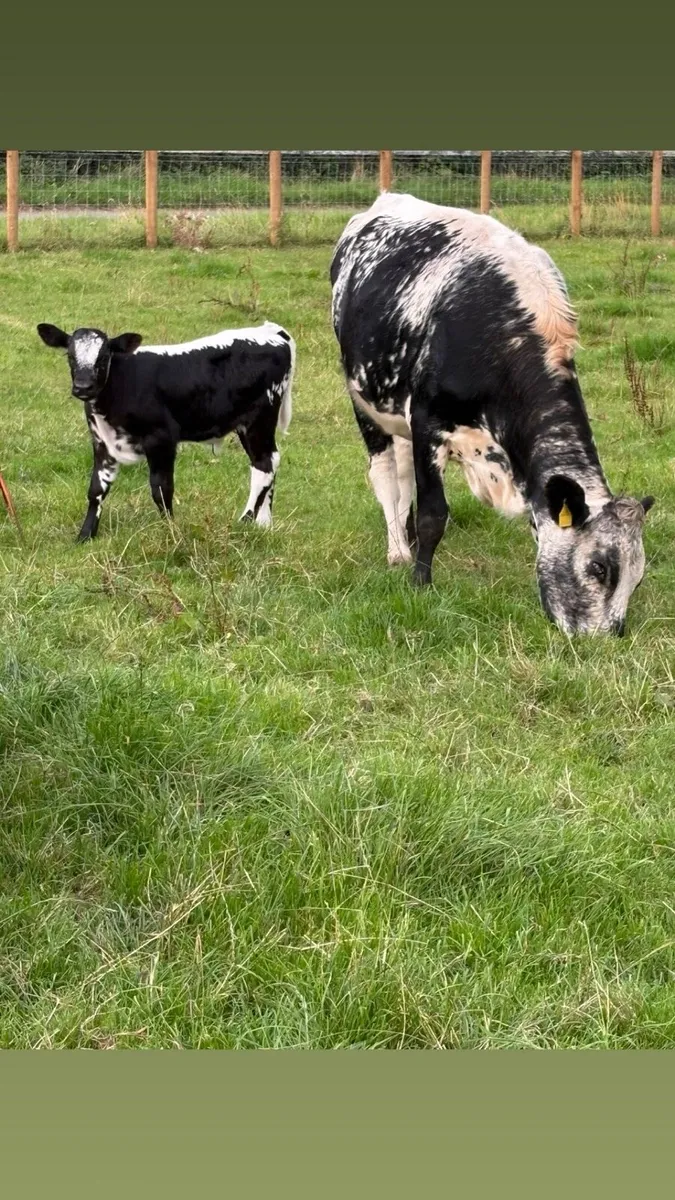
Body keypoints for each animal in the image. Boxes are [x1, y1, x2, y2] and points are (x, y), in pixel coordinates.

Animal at [37, 320, 295, 541]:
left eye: (103, 357)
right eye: (70, 356)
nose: (83, 387)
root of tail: (271, 331)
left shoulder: (161, 438)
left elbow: (161, 488)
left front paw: (169, 531)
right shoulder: (102, 442)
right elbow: (96, 489)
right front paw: (85, 535)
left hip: (259, 419)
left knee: (264, 465)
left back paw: (245, 521)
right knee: (268, 461)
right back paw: (264, 524)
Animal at [330, 192, 655, 636]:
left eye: (637, 578)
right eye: (598, 567)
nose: (607, 637)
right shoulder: (427, 422)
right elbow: (434, 514)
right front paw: (420, 582)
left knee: (403, 474)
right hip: (364, 401)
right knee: (385, 476)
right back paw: (398, 550)